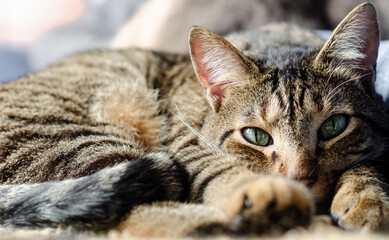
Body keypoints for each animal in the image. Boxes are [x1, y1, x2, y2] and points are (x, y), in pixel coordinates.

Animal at [0, 1, 388, 237]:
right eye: (256, 136)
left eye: (333, 127)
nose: (300, 179)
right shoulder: (186, 142)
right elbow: (218, 168)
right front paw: (266, 192)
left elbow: (367, 164)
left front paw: (368, 201)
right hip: (78, 139)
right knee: (138, 210)